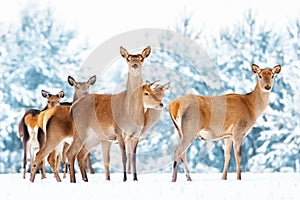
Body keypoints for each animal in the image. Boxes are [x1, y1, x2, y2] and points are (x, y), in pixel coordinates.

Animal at [64, 45, 152, 183]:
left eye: (141, 58)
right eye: (128, 59)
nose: (135, 65)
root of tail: (72, 107)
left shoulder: (136, 134)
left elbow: (133, 158)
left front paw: (135, 178)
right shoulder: (119, 131)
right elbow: (124, 157)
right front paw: (124, 178)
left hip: (93, 136)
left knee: (81, 154)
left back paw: (85, 180)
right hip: (80, 130)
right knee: (70, 153)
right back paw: (74, 181)